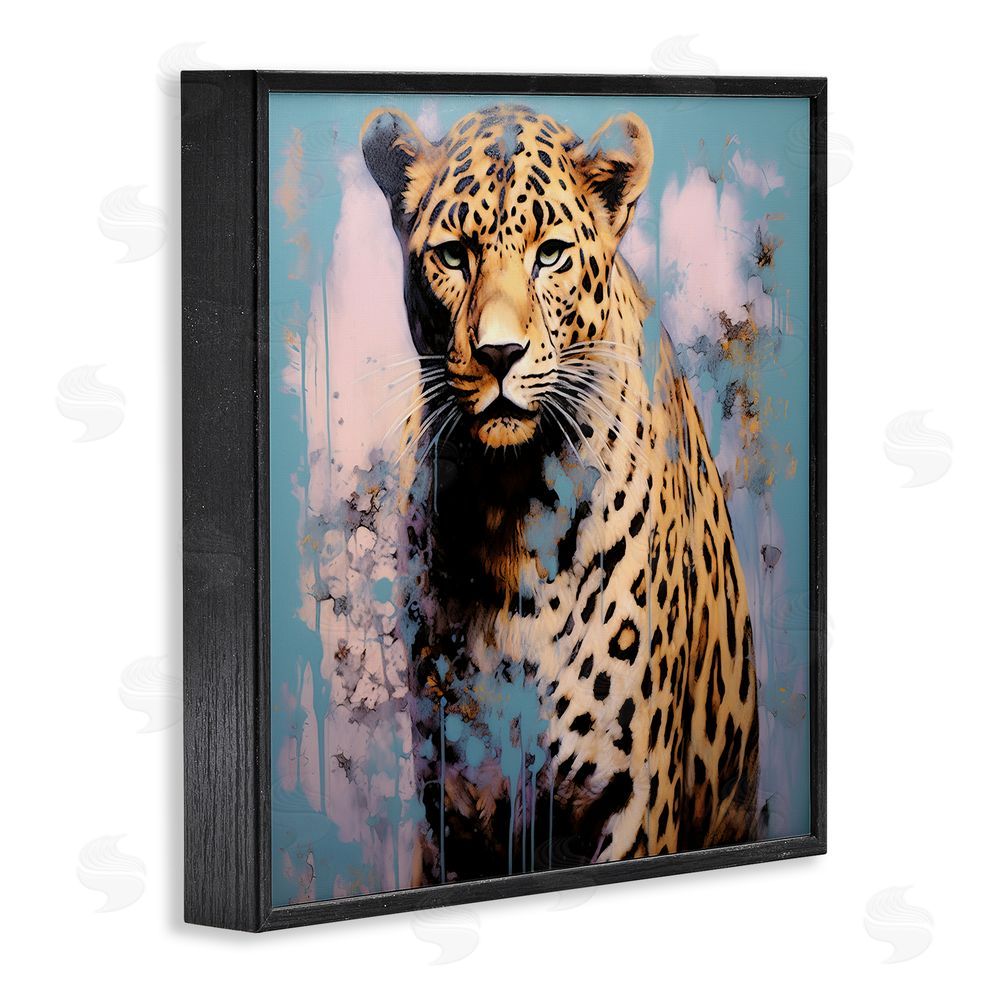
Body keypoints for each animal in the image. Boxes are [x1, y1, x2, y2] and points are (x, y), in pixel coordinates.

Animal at [361, 103, 761, 885]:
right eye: (453, 256)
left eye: (549, 254)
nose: (499, 355)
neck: (506, 508)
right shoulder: (453, 811)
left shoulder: (627, 799)